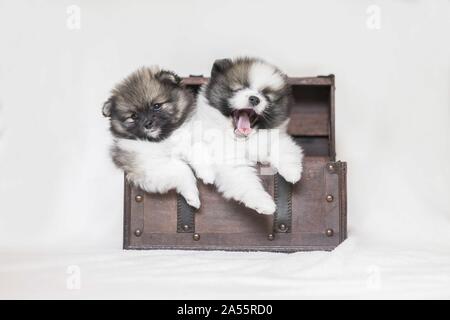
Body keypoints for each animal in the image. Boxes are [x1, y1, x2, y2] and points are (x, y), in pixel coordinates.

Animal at [195, 57, 304, 215]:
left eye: (266, 97)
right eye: (238, 89)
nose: (254, 98)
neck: (244, 140)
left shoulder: (277, 137)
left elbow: (285, 148)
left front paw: (292, 172)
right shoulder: (231, 160)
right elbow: (246, 181)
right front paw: (264, 202)